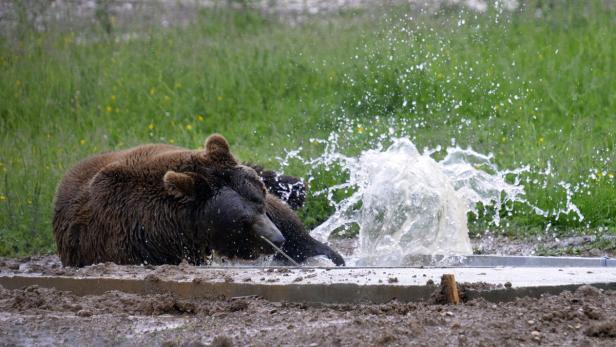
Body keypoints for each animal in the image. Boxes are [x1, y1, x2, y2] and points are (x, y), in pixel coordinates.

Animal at [52, 135, 344, 268]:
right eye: (241, 220)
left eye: (259, 201)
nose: (276, 239)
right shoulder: (143, 246)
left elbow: (292, 227)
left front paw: (327, 254)